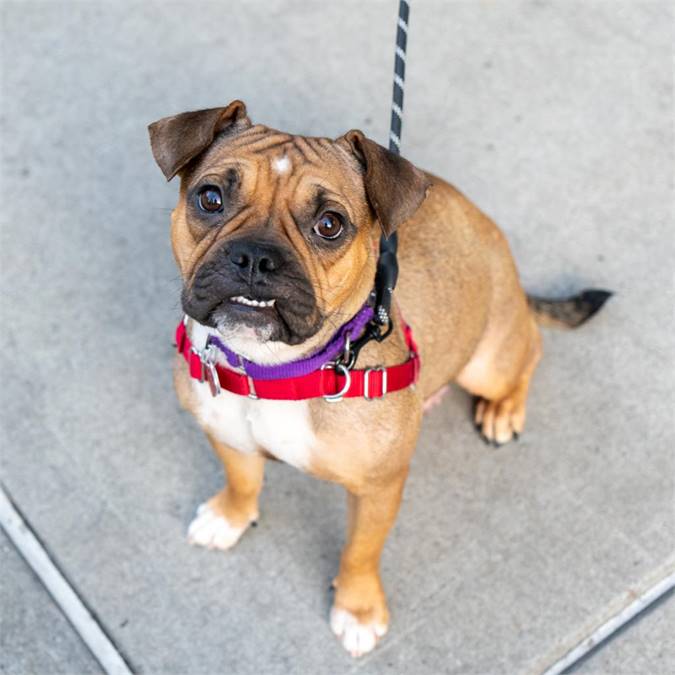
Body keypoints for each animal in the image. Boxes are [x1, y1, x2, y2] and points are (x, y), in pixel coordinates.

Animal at [147, 101, 608, 660]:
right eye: (210, 198)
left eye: (329, 224)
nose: (255, 256)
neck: (276, 367)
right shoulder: (227, 435)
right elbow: (243, 480)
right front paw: (230, 516)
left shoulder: (378, 489)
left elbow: (360, 551)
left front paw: (358, 609)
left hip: (488, 362)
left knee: (531, 349)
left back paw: (503, 410)